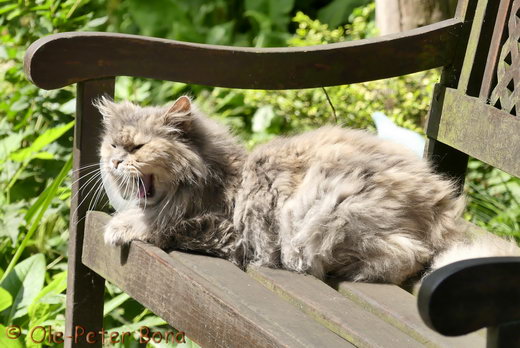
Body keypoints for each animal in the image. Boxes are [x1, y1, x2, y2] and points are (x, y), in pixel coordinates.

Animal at [93, 96, 520, 286]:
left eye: (138, 148)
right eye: (113, 145)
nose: (115, 163)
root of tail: (441, 205)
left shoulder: (218, 227)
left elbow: (158, 224)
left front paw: (119, 228)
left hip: (325, 213)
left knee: (410, 255)